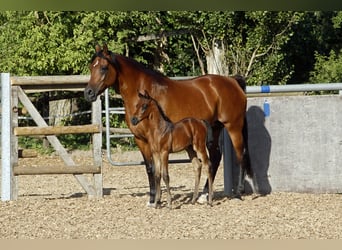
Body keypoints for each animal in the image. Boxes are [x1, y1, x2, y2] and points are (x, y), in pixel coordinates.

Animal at [84, 44, 252, 205]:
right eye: (91, 67)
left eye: (104, 67)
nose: (88, 93)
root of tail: (232, 81)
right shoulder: (140, 139)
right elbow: (150, 168)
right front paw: (152, 199)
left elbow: (157, 170)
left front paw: (156, 199)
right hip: (214, 129)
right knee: (215, 157)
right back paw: (204, 195)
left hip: (233, 127)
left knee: (240, 155)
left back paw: (238, 192)